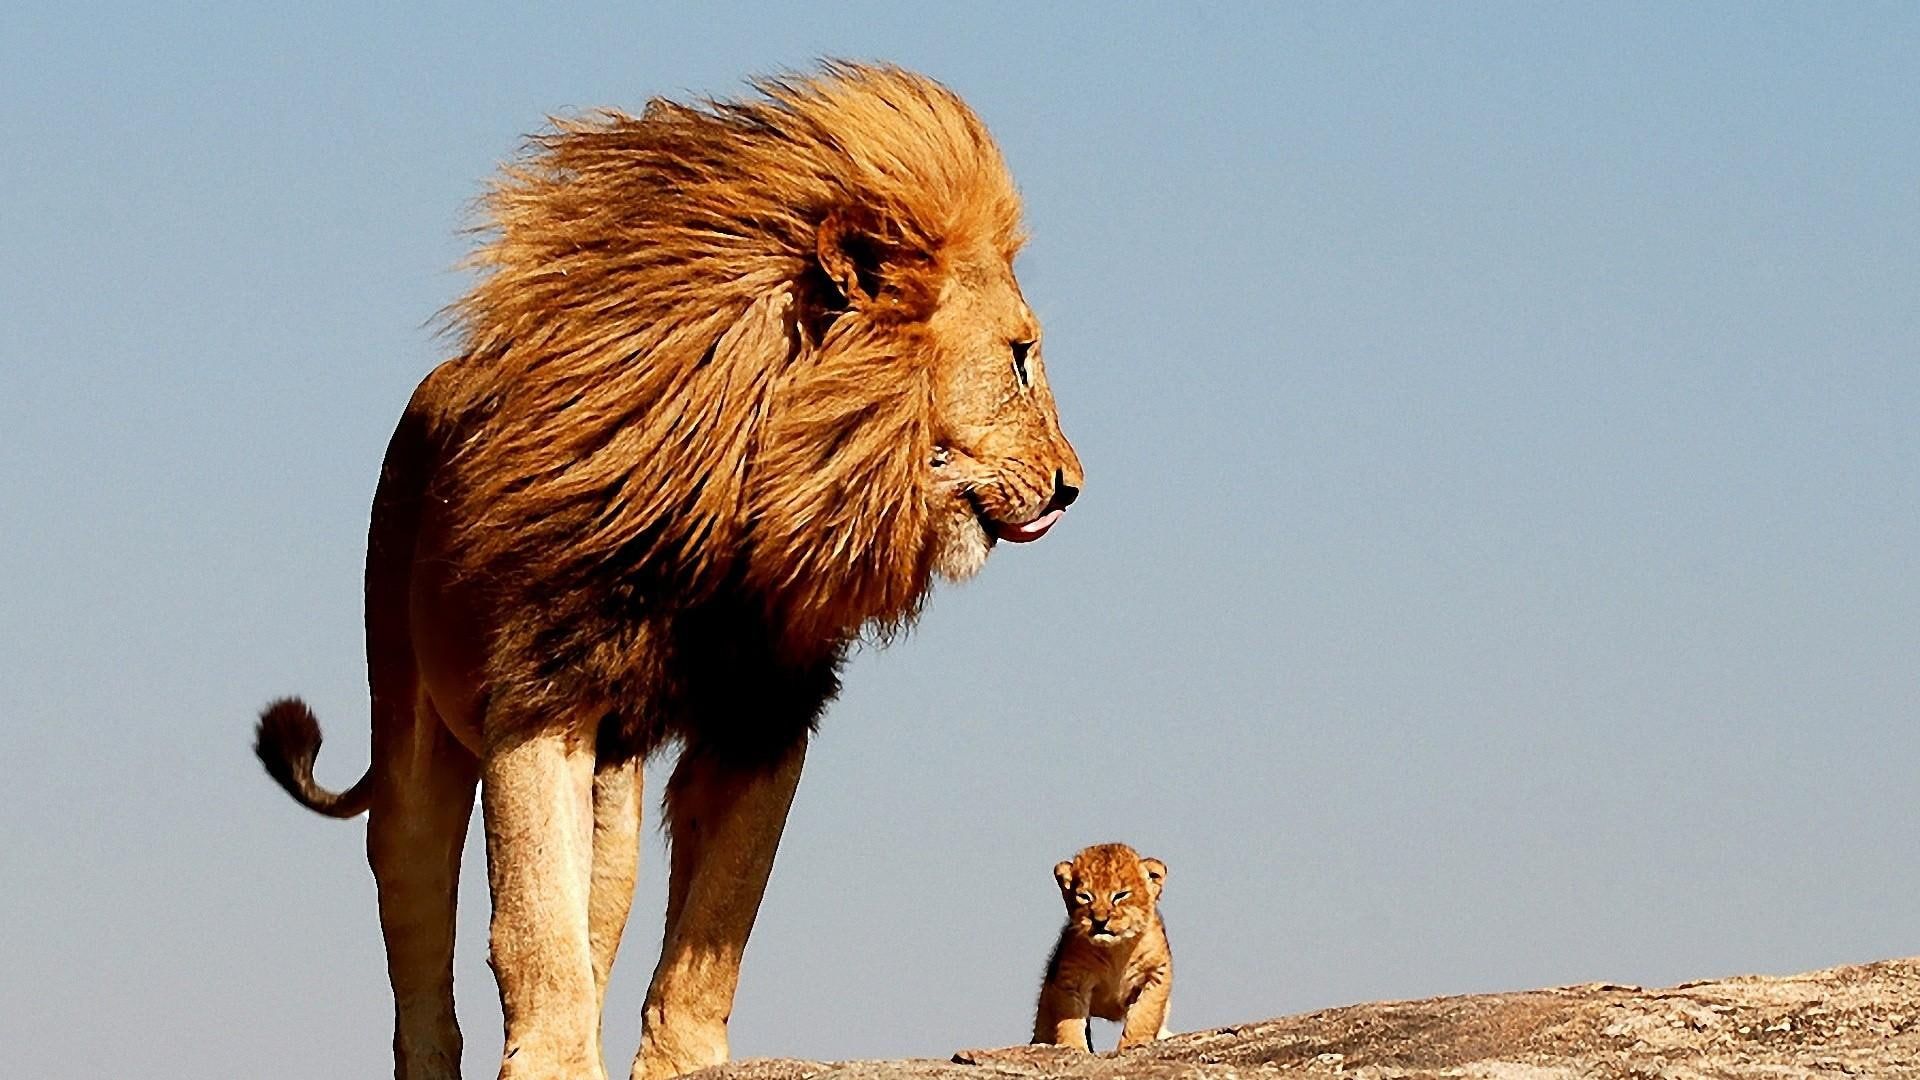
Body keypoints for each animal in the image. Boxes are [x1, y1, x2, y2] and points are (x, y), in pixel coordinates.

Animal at [252, 63, 1081, 1080]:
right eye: (1020, 356)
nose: (1073, 487)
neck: (738, 515)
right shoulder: (538, 696)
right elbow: (534, 923)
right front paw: (551, 1062)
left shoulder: (766, 715)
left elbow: (716, 924)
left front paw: (681, 1059)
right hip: (412, 736)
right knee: (421, 952)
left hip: (616, 793)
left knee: (600, 910)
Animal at [1033, 844, 1172, 1052]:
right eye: (1085, 896)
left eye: (1121, 895)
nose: (1100, 921)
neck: (1115, 951)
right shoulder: (1072, 977)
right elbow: (1070, 1018)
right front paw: (1074, 1047)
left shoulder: (1156, 973)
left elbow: (1144, 1014)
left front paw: (1133, 1043)